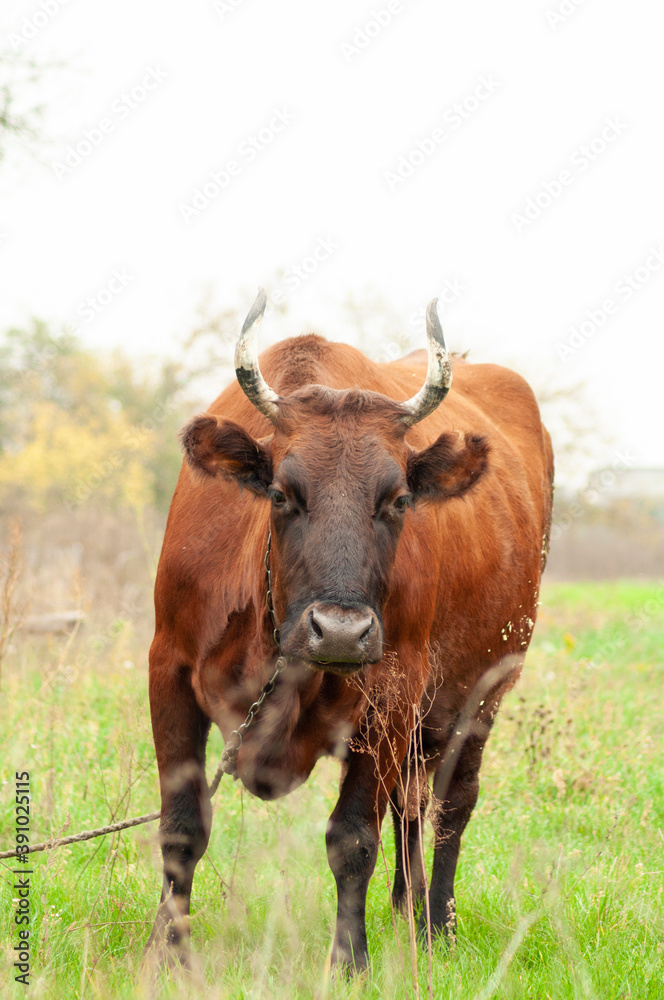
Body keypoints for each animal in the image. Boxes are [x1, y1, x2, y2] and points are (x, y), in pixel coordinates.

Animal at [147, 288, 556, 968]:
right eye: (281, 493)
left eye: (397, 500)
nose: (340, 631)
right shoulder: (168, 670)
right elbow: (182, 828)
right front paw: (166, 953)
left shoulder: (392, 686)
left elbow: (353, 838)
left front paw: (349, 964)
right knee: (411, 801)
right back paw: (406, 907)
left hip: (482, 691)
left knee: (450, 803)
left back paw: (435, 923)